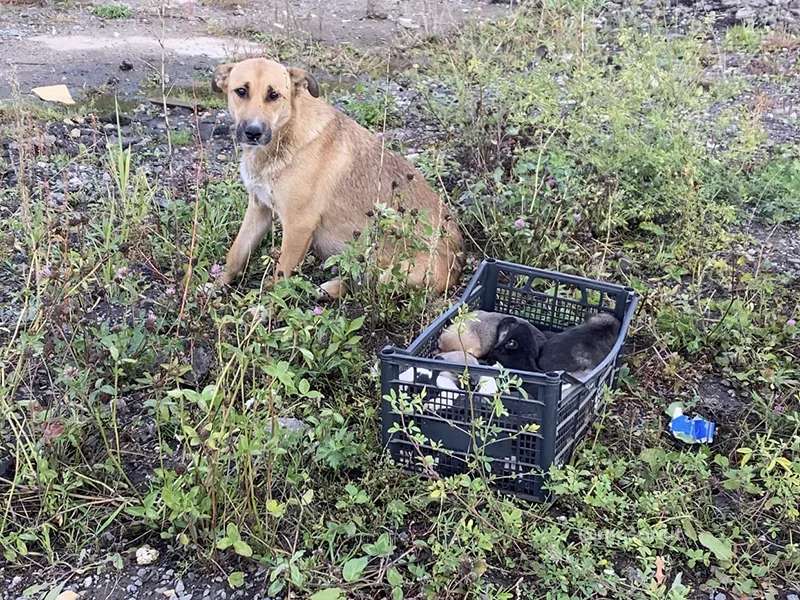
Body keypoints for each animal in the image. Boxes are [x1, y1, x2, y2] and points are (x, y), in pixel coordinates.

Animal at [209, 57, 466, 296]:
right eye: (241, 91)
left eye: (274, 95)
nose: (253, 132)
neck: (286, 134)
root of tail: (458, 263)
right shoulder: (259, 208)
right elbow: (236, 254)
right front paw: (217, 285)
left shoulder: (298, 225)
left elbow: (279, 280)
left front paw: (262, 309)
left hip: (390, 264)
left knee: (367, 284)